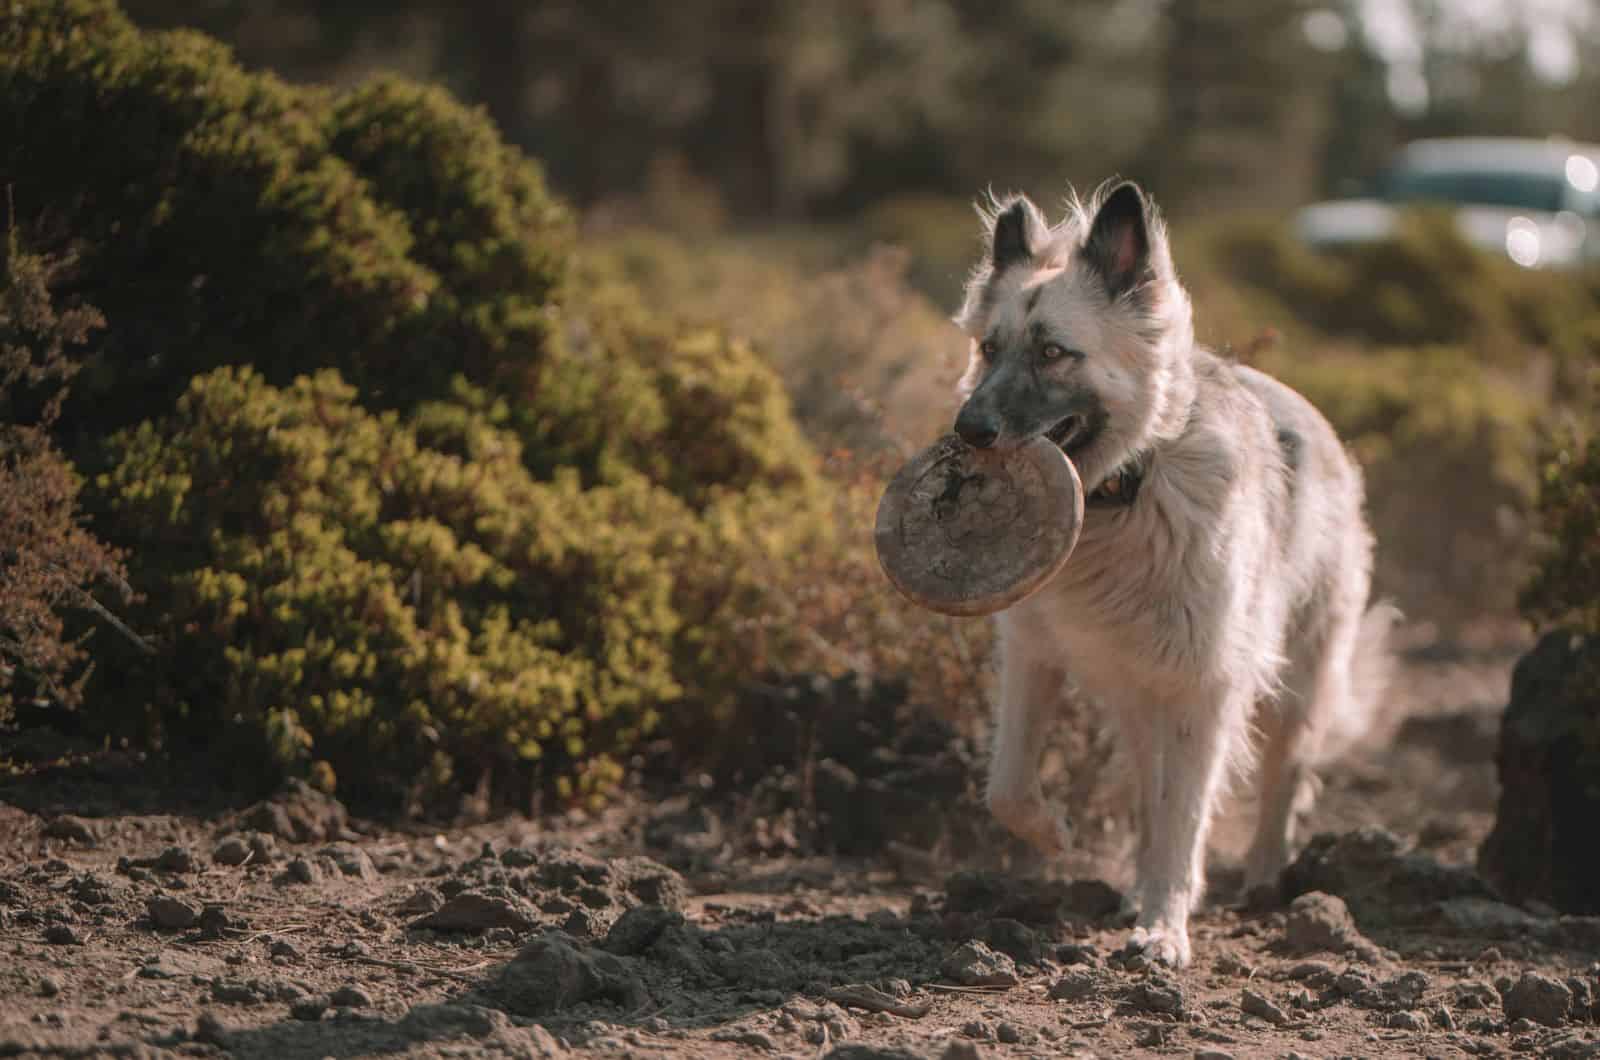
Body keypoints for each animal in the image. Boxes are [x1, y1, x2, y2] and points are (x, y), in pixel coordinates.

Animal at [953, 182, 1395, 973]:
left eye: (1054, 352)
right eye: (989, 348)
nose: (966, 430)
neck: (1123, 496)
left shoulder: (1206, 688)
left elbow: (1187, 817)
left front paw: (1165, 929)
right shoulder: (1033, 655)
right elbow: (1007, 785)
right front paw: (1057, 835)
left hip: (1296, 678)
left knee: (1286, 771)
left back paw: (1263, 876)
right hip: (1136, 697)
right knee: (1148, 784)